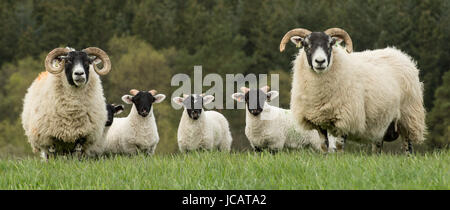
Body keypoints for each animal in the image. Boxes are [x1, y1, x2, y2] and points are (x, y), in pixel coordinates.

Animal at [280, 27, 428, 154]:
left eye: (330, 44)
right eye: (306, 45)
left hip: (408, 116)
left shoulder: (347, 117)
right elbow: (324, 145)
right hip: (381, 119)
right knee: (378, 144)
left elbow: (339, 145)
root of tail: (401, 54)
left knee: (407, 145)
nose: (320, 61)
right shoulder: (319, 120)